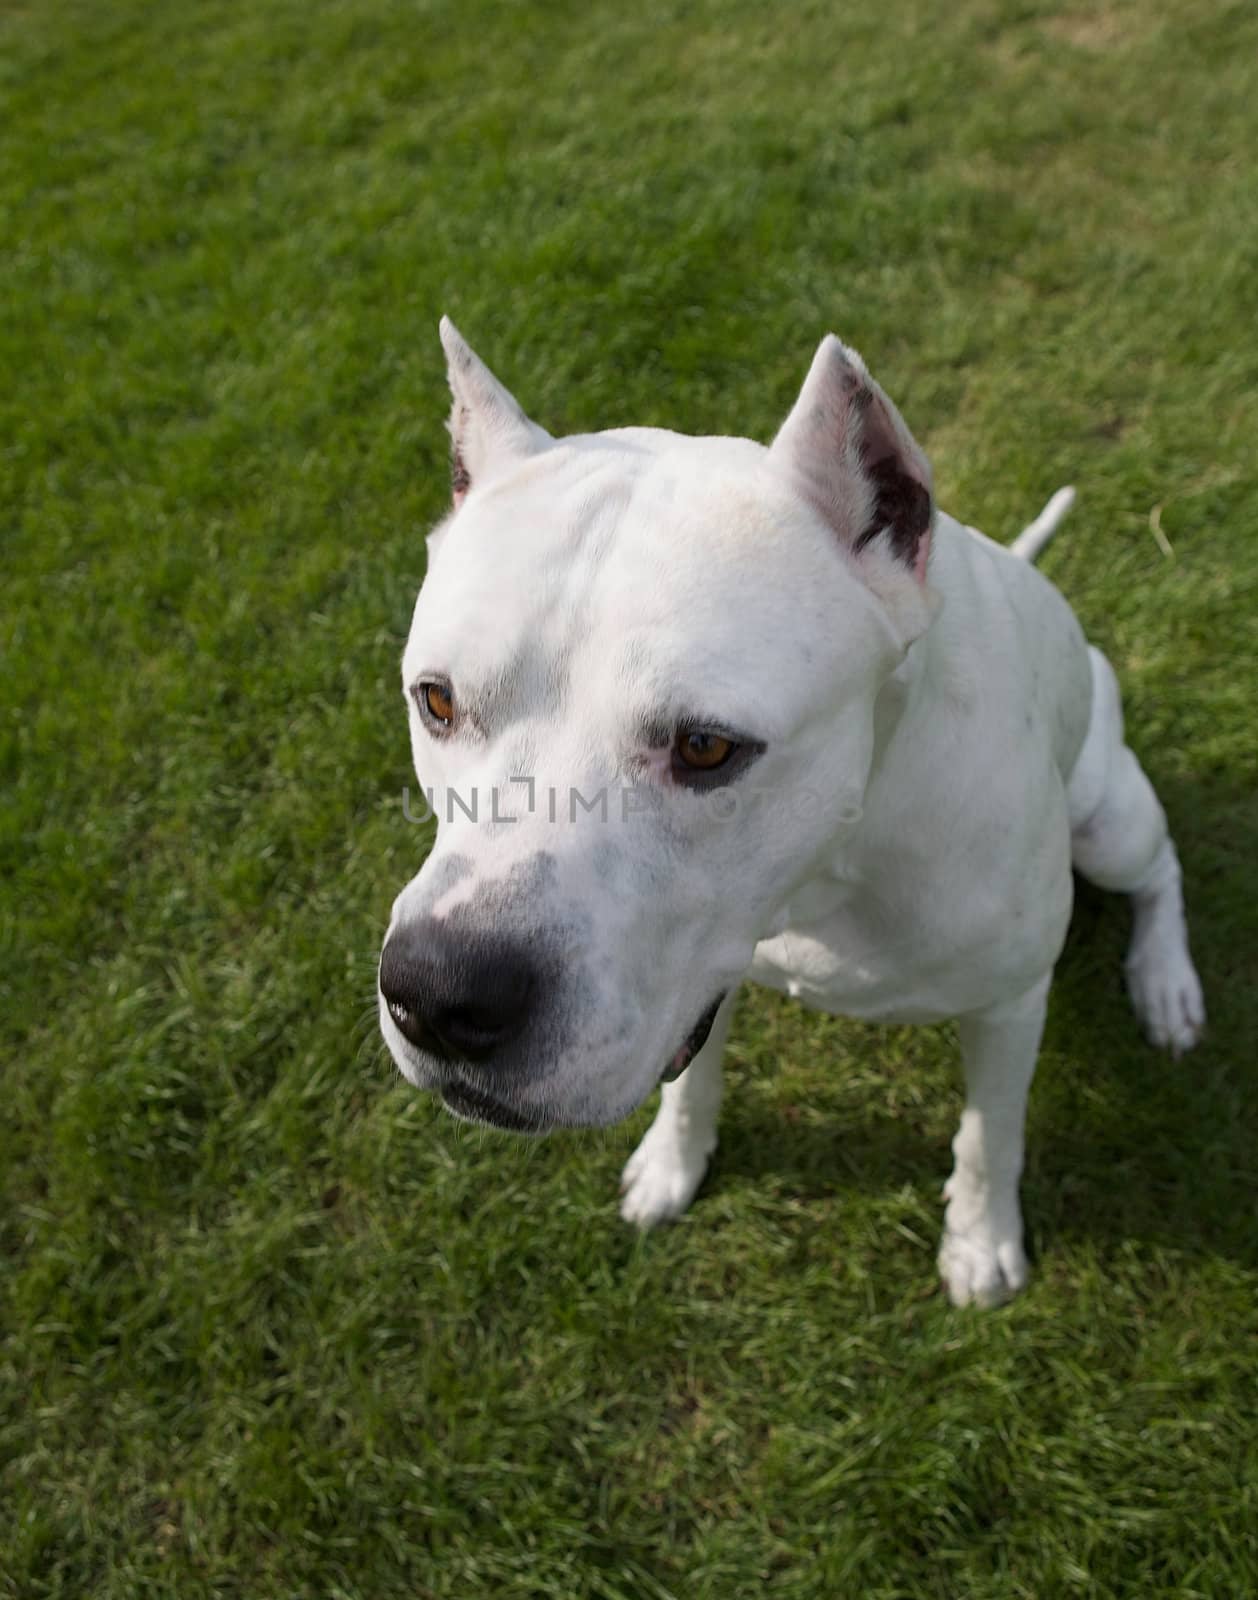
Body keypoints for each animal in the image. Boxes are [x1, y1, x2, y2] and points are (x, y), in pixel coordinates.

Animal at [377, 318, 1203, 1305]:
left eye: (706, 746)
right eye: (437, 701)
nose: (438, 994)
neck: (828, 873)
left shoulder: (1011, 1004)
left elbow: (987, 1137)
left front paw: (980, 1241)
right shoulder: (702, 978)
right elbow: (690, 1084)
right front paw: (672, 1165)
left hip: (1107, 819)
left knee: (1161, 869)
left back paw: (1166, 982)